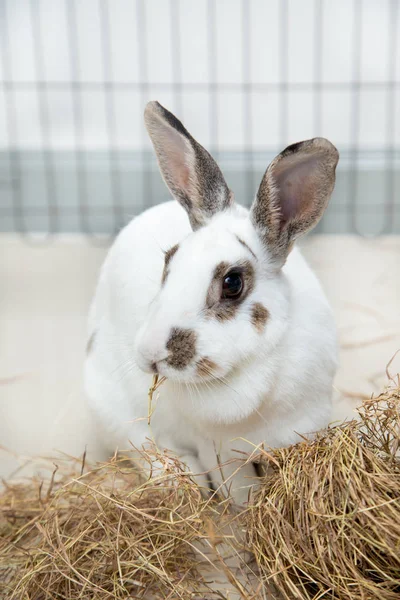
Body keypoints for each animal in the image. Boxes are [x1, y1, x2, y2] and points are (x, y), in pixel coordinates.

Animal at [83, 101, 338, 504]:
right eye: (169, 260)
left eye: (232, 283)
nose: (150, 356)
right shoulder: (217, 451)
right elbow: (240, 494)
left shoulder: (306, 426)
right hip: (109, 404)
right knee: (140, 445)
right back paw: (180, 479)